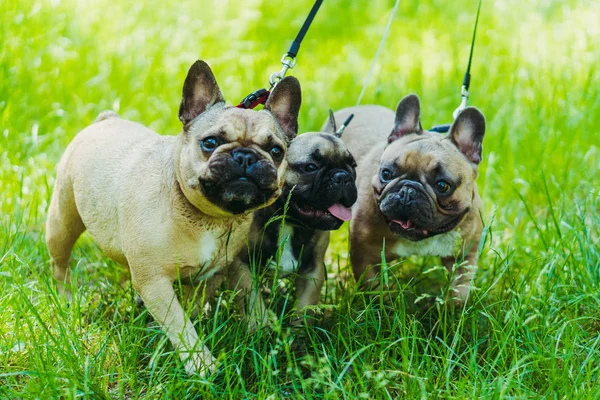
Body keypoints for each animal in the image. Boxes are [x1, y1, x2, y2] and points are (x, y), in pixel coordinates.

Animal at [44, 58, 302, 376]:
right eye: (210, 142)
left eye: (276, 151)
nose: (245, 156)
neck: (209, 217)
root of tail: (106, 120)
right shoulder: (154, 281)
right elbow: (179, 323)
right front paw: (201, 364)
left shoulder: (211, 273)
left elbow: (199, 306)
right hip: (62, 221)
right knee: (60, 263)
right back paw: (67, 298)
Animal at [225, 111, 356, 328]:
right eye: (310, 167)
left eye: (353, 166)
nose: (343, 176)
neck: (288, 221)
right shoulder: (242, 265)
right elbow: (253, 301)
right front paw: (260, 328)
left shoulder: (313, 271)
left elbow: (305, 306)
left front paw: (299, 332)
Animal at [336, 94, 486, 300]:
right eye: (386, 173)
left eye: (442, 185)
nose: (408, 191)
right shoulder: (365, 256)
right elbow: (374, 289)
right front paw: (382, 305)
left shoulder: (464, 256)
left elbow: (459, 292)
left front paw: (453, 307)